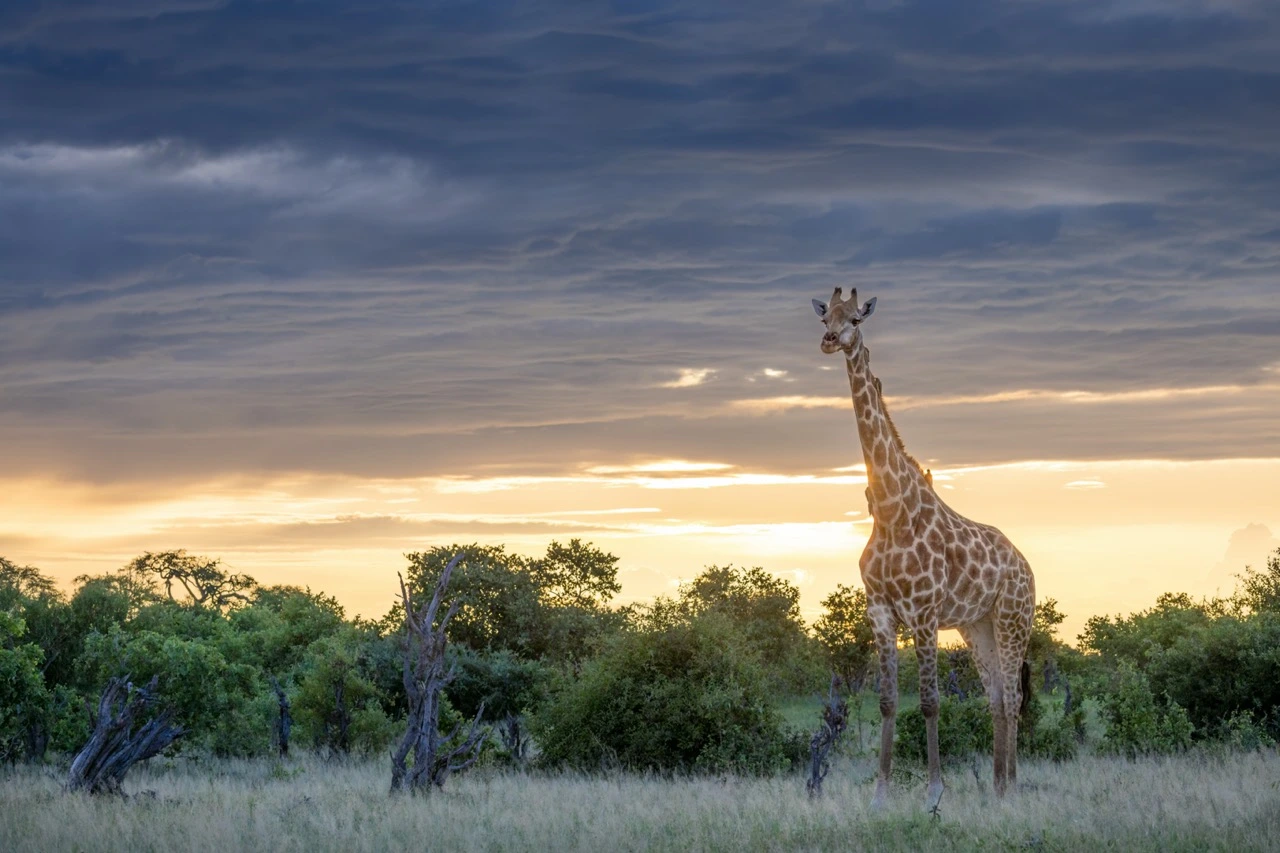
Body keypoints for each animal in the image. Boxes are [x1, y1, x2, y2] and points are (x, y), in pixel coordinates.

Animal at [814, 286, 1034, 809]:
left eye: (855, 318)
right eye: (824, 316)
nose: (830, 341)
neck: (891, 510)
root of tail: (1026, 565)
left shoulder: (925, 611)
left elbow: (931, 702)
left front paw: (934, 792)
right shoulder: (879, 610)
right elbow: (888, 701)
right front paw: (880, 793)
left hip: (1014, 618)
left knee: (1014, 696)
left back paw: (1013, 787)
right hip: (978, 626)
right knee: (996, 697)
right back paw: (997, 785)